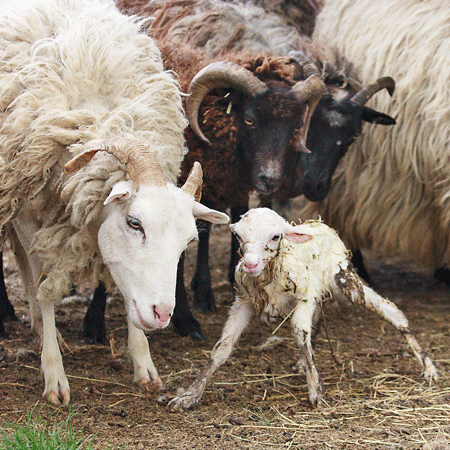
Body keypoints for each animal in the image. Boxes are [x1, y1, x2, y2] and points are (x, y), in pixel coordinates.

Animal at [0, 0, 229, 404]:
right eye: (134, 223)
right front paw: (54, 374)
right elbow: (45, 288)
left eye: (188, 241)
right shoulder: (30, 213)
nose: (162, 314)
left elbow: (125, 286)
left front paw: (143, 362)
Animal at [168, 209, 436, 410]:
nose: (250, 264)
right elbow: (222, 347)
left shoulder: (306, 294)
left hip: (344, 278)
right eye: (239, 237)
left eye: (276, 236)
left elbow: (298, 329)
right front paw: (189, 395)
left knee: (391, 311)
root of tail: (320, 224)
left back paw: (428, 367)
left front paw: (316, 391)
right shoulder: (243, 301)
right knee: (316, 321)